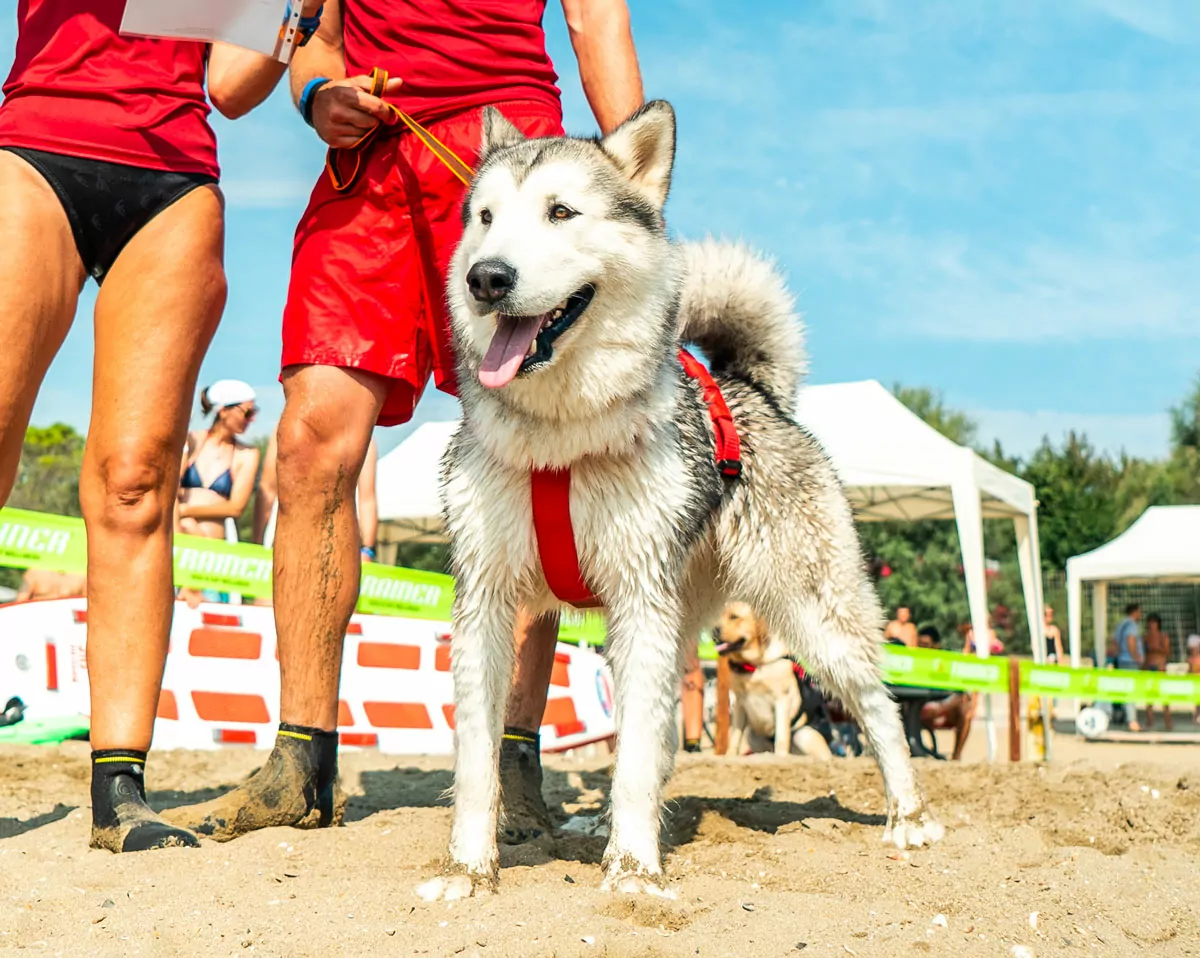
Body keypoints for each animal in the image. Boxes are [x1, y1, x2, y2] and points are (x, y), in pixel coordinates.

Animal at [417, 97, 940, 902]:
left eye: (561, 212)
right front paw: (469, 869)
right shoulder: (485, 603)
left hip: (810, 616)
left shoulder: (638, 600)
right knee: (660, 729)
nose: (487, 278)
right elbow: (480, 761)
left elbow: (631, 757)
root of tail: (751, 390)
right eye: (484, 217)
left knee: (879, 709)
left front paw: (635, 871)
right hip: (672, 621)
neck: (560, 443)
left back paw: (907, 815)